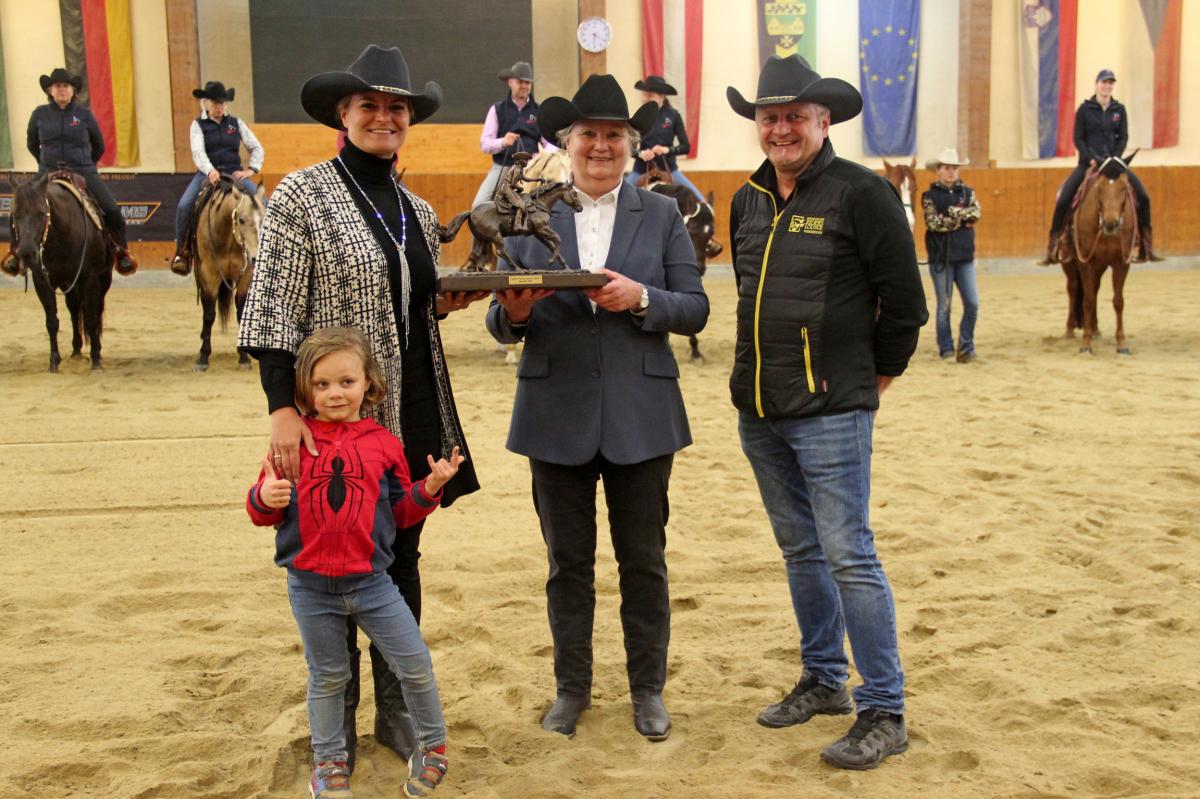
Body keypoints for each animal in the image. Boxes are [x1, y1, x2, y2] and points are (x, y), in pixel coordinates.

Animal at [7, 171, 113, 369]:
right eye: (14, 215)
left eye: (41, 212)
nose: (26, 253)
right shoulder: (42, 280)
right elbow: (52, 322)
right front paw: (54, 361)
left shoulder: (91, 278)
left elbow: (91, 319)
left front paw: (96, 360)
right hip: (67, 283)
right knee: (73, 310)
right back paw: (76, 351)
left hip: (104, 279)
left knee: (96, 311)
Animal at [189, 176, 265, 369]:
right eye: (241, 219)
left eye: (264, 218)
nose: (256, 257)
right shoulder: (209, 274)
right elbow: (209, 315)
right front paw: (203, 357)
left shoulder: (246, 274)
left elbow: (240, 312)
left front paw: (244, 357)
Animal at [1065, 153, 1137, 352]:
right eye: (1099, 187)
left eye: (1125, 187)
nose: (1111, 224)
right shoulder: (1085, 262)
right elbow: (1088, 301)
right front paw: (1086, 344)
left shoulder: (1122, 263)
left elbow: (1118, 301)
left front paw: (1121, 343)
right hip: (1069, 263)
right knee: (1073, 289)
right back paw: (1070, 329)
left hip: (1100, 266)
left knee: (1094, 288)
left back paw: (1095, 328)